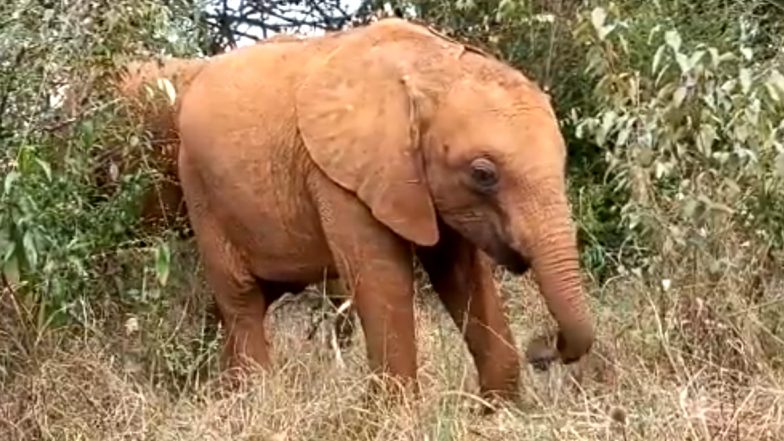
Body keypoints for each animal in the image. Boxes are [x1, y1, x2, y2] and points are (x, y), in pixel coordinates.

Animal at [174, 17, 595, 404]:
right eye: (483, 174)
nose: (541, 349)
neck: (430, 67)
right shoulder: (341, 175)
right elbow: (383, 278)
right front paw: (398, 416)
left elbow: (463, 274)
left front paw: (499, 413)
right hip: (200, 189)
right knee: (241, 299)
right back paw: (257, 399)